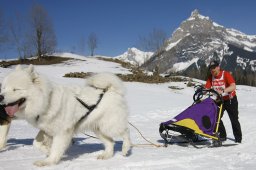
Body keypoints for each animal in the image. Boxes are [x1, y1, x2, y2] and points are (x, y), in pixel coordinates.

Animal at [0, 64, 132, 166]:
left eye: (15, 89)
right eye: (4, 88)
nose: (0, 96)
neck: (47, 101)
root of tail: (110, 90)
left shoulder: (62, 132)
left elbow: (56, 149)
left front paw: (48, 162)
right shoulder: (47, 129)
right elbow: (36, 143)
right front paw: (47, 150)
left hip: (110, 125)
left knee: (126, 132)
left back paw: (125, 149)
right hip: (99, 129)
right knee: (110, 142)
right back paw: (106, 156)